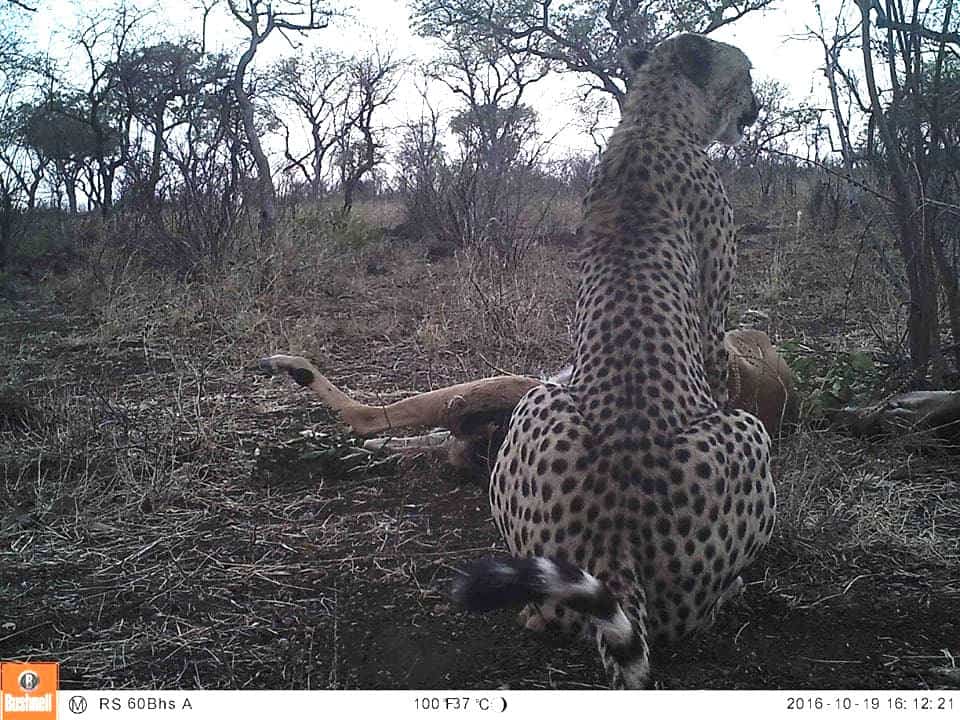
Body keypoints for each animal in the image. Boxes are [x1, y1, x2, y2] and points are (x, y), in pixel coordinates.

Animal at [452, 33, 775, 689]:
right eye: (747, 74)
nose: (757, 106)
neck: (652, 120)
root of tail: (615, 541)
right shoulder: (714, 323)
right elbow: (721, 365)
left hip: (541, 398)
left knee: (545, 606)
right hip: (747, 435)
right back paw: (732, 591)